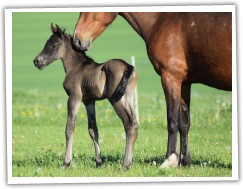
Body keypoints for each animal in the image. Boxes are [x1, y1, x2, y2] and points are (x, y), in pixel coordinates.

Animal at [33, 23, 139, 168]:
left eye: (53, 45)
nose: (37, 61)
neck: (76, 67)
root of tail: (128, 66)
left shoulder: (74, 97)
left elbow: (70, 128)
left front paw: (66, 163)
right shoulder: (89, 101)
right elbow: (93, 130)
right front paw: (99, 162)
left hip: (115, 99)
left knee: (129, 123)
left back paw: (126, 164)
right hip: (128, 98)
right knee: (135, 123)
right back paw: (130, 162)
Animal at [73, 12, 232, 168]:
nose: (77, 41)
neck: (162, 20)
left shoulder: (170, 77)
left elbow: (172, 120)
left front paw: (170, 159)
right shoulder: (184, 82)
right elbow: (184, 123)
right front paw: (184, 162)